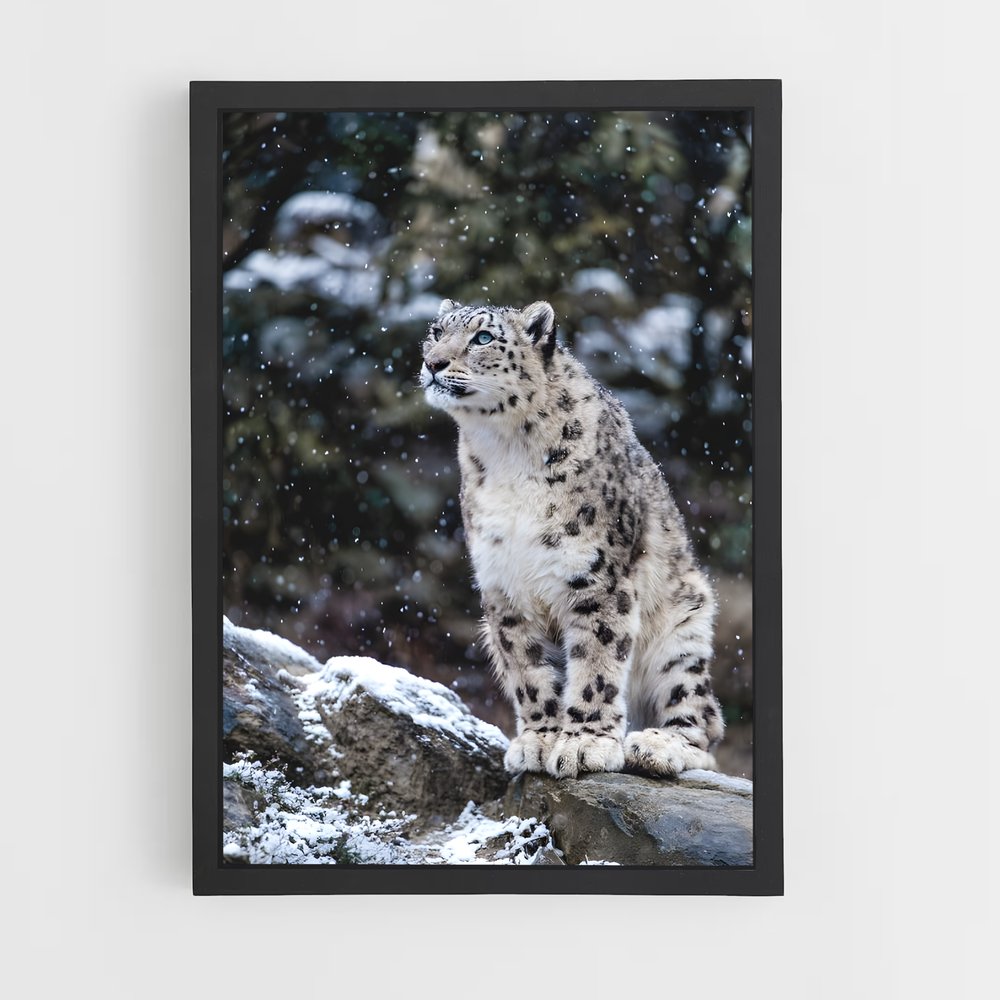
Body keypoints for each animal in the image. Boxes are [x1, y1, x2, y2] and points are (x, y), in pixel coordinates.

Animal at [419, 299, 725, 779]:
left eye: (483, 337)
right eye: (436, 332)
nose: (433, 363)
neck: (506, 454)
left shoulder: (596, 578)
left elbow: (596, 662)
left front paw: (585, 744)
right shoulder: (504, 585)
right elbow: (527, 668)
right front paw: (540, 739)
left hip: (681, 637)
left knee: (703, 723)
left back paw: (656, 746)